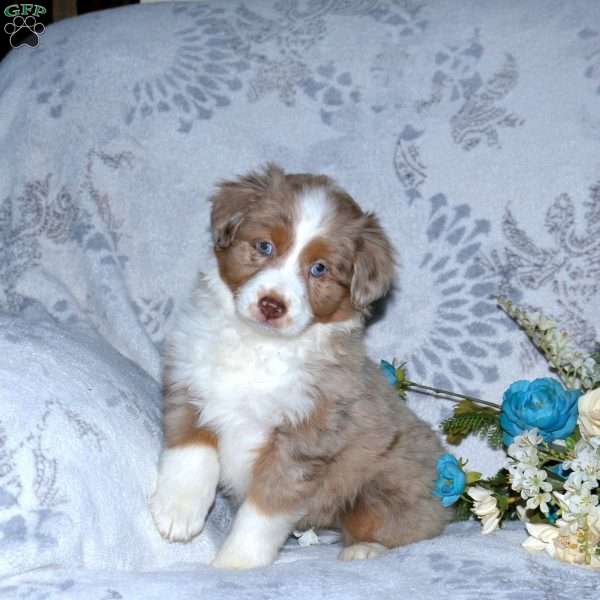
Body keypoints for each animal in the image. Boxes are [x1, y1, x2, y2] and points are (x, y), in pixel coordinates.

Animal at [150, 163, 450, 568]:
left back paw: (364, 549)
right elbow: (191, 449)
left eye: (319, 269)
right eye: (264, 246)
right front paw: (177, 510)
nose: (271, 305)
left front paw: (235, 564)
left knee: (407, 527)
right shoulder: (189, 382)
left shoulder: (304, 440)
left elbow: (263, 511)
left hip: (385, 488)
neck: (259, 346)